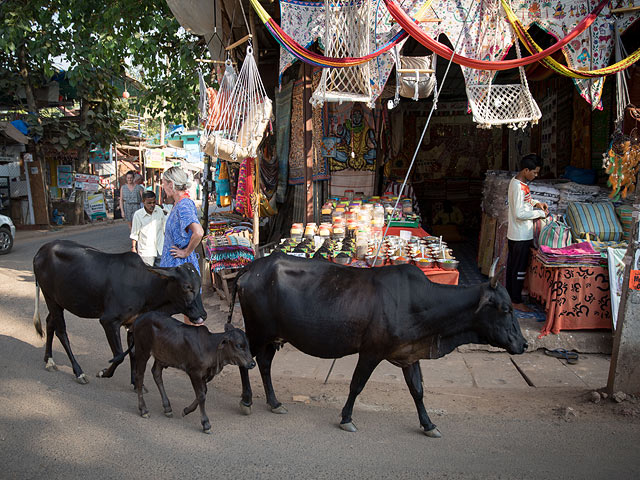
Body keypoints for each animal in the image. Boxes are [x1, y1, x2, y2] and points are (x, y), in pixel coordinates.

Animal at [33, 242, 208, 384]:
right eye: (187, 287)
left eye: (199, 285)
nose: (203, 314)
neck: (145, 287)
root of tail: (42, 250)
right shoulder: (109, 321)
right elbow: (119, 355)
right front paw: (104, 373)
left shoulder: (133, 323)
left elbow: (134, 353)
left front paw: (135, 382)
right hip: (50, 297)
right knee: (61, 332)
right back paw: (78, 372)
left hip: (58, 301)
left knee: (50, 323)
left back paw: (49, 360)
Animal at [111, 314, 256, 434]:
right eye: (239, 345)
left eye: (248, 345)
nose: (252, 363)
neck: (211, 349)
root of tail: (138, 320)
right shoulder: (194, 372)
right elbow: (201, 395)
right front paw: (206, 424)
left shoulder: (204, 375)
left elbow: (202, 393)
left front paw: (186, 410)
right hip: (143, 351)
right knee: (139, 377)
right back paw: (144, 410)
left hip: (161, 356)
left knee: (156, 373)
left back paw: (167, 408)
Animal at [230, 255, 524, 438]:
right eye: (505, 308)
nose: (522, 343)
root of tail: (251, 267)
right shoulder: (371, 351)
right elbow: (356, 385)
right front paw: (346, 419)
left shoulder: (409, 354)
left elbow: (417, 390)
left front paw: (428, 424)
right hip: (257, 332)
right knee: (246, 362)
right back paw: (246, 400)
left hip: (273, 336)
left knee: (264, 364)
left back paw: (274, 402)